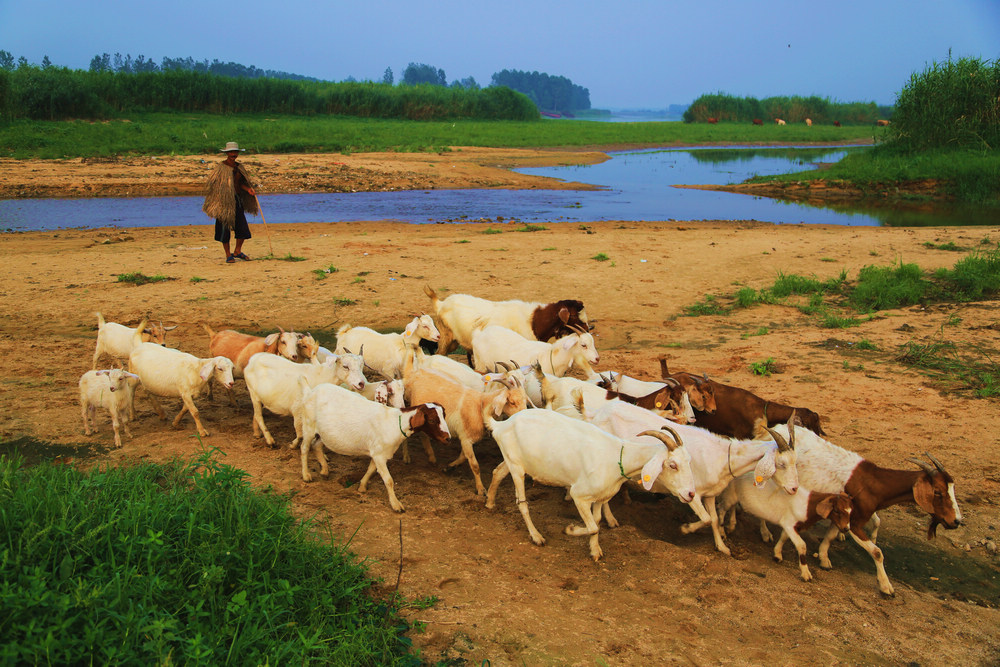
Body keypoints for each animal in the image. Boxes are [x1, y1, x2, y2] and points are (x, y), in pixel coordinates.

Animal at [292, 380, 450, 512]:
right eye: (432, 420)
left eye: (443, 416)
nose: (447, 438)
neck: (395, 422)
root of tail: (311, 391)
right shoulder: (380, 455)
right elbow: (389, 480)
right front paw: (396, 505)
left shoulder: (377, 452)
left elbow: (371, 470)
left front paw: (362, 486)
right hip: (308, 425)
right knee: (305, 448)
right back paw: (306, 475)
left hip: (323, 433)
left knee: (316, 445)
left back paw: (325, 470)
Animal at [484, 412, 696, 564]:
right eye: (672, 465)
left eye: (688, 460)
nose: (690, 494)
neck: (618, 458)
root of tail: (501, 425)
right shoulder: (580, 495)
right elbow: (593, 527)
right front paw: (570, 530)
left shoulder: (600, 496)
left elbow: (597, 521)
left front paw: (595, 551)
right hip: (517, 468)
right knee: (522, 503)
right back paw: (536, 536)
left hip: (512, 461)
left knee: (498, 472)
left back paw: (490, 502)